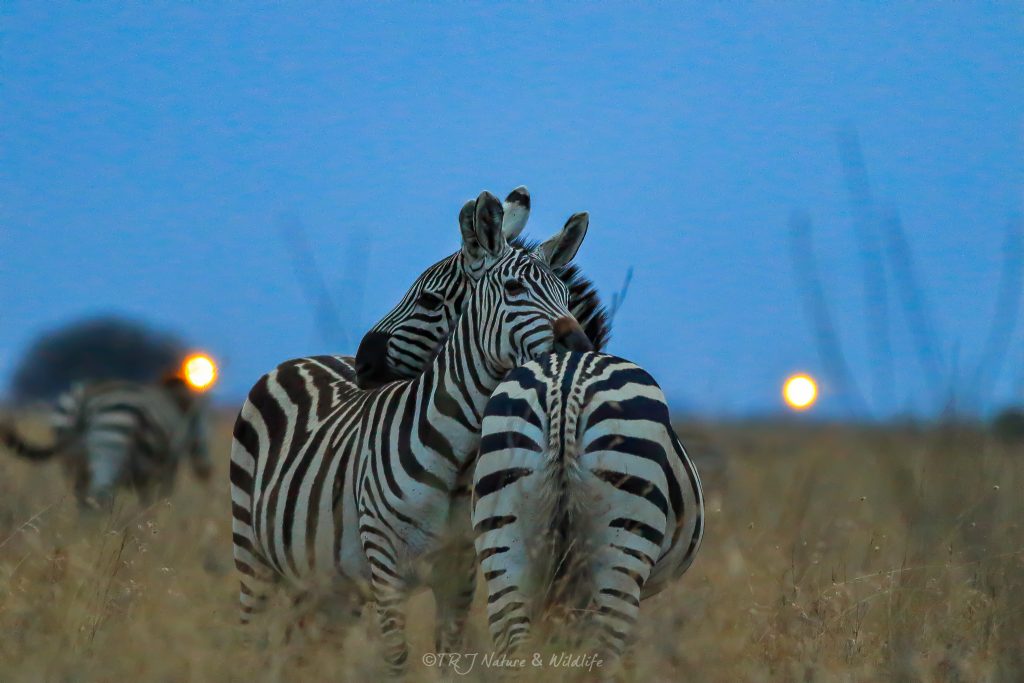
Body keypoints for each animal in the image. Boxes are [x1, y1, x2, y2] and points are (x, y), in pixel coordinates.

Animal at [0, 374, 211, 507]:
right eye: (200, 419)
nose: (206, 471)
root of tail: (84, 396)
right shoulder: (163, 473)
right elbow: (151, 508)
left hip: (71, 458)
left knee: (83, 499)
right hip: (110, 443)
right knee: (98, 496)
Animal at [227, 189, 589, 675]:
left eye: (566, 294)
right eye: (514, 289)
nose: (581, 344)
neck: (459, 457)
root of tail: (301, 359)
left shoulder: (459, 573)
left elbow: (450, 658)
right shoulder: (386, 569)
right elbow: (397, 661)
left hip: (328, 582)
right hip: (253, 557)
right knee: (252, 636)